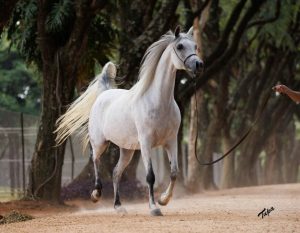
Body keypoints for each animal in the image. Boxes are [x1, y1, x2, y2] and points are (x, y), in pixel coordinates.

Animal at [55, 26, 203, 217]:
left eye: (195, 46)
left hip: (127, 150)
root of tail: (104, 93)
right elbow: (150, 176)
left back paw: (119, 207)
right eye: (180, 46)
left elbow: (174, 172)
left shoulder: (171, 142)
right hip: (100, 142)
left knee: (116, 172)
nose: (198, 64)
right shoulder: (146, 143)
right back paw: (96, 194)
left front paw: (163, 200)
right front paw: (154, 208)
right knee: (95, 159)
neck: (158, 101)